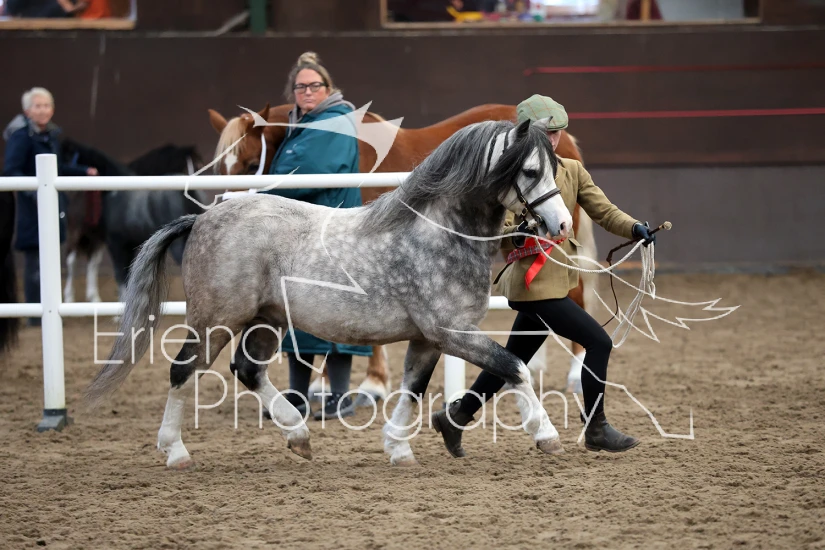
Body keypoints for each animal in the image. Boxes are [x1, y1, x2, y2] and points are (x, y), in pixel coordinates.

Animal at [85, 118, 574, 468]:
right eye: (530, 170)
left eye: (555, 168)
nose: (562, 224)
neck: (440, 231)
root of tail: (203, 218)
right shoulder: (453, 332)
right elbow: (514, 367)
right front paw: (546, 435)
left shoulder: (429, 338)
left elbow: (412, 389)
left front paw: (398, 449)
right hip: (215, 321)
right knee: (183, 371)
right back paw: (176, 451)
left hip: (266, 321)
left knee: (248, 370)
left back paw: (298, 436)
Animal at [207, 102, 598, 397]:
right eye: (221, 165)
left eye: (248, 163)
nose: (220, 204)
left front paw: (372, 383)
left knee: (575, 293)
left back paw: (577, 374)